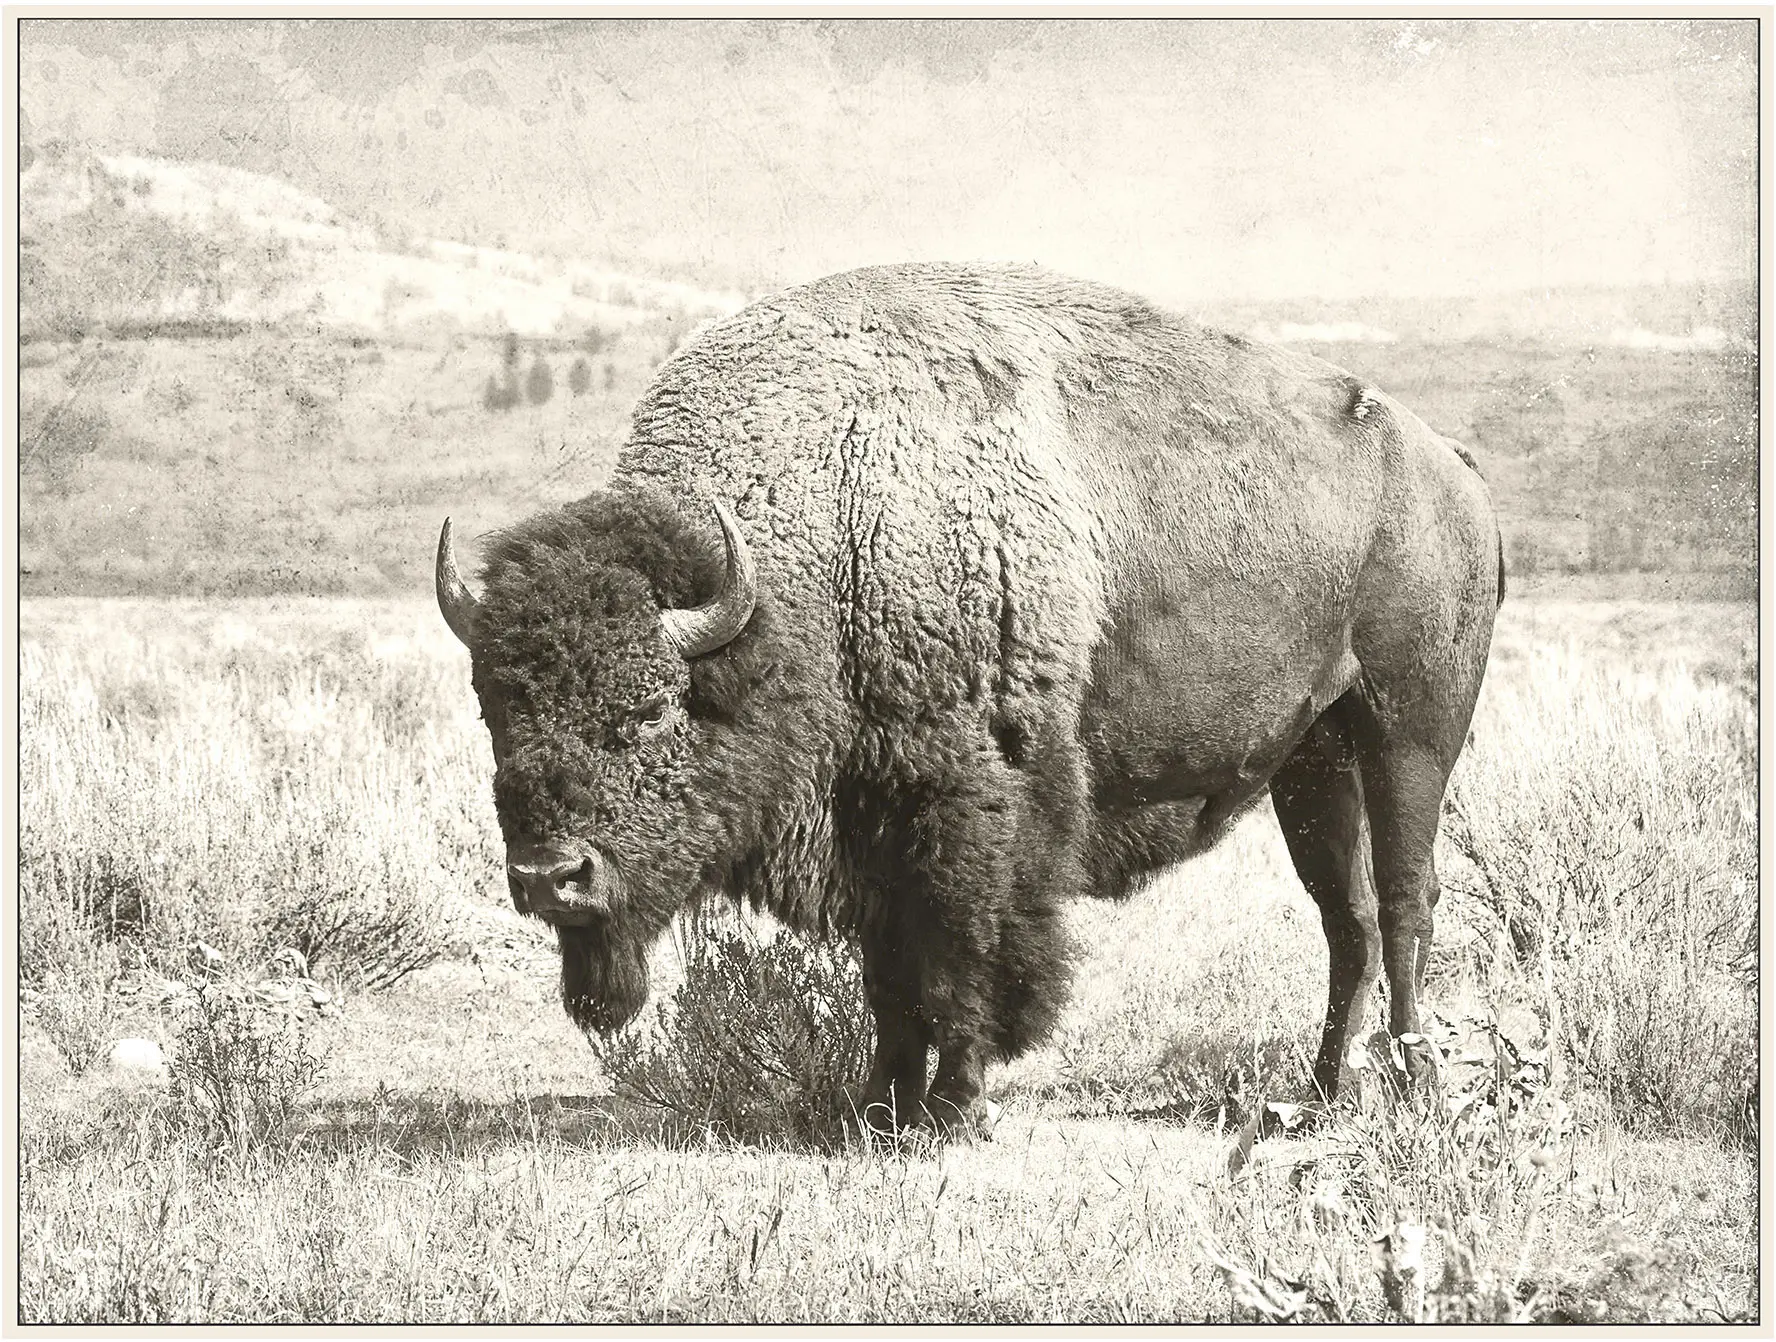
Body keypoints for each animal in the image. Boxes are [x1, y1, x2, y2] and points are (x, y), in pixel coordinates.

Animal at [436, 263, 1502, 1134]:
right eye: (495, 711)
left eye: (652, 710)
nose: (549, 878)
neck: (828, 527)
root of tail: (1453, 470)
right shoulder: (868, 823)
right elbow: (890, 980)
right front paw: (878, 1108)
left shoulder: (968, 807)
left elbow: (962, 961)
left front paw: (954, 1109)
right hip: (1311, 760)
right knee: (1345, 918)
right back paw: (1320, 1095)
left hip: (1409, 734)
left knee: (1404, 901)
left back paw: (1415, 1089)